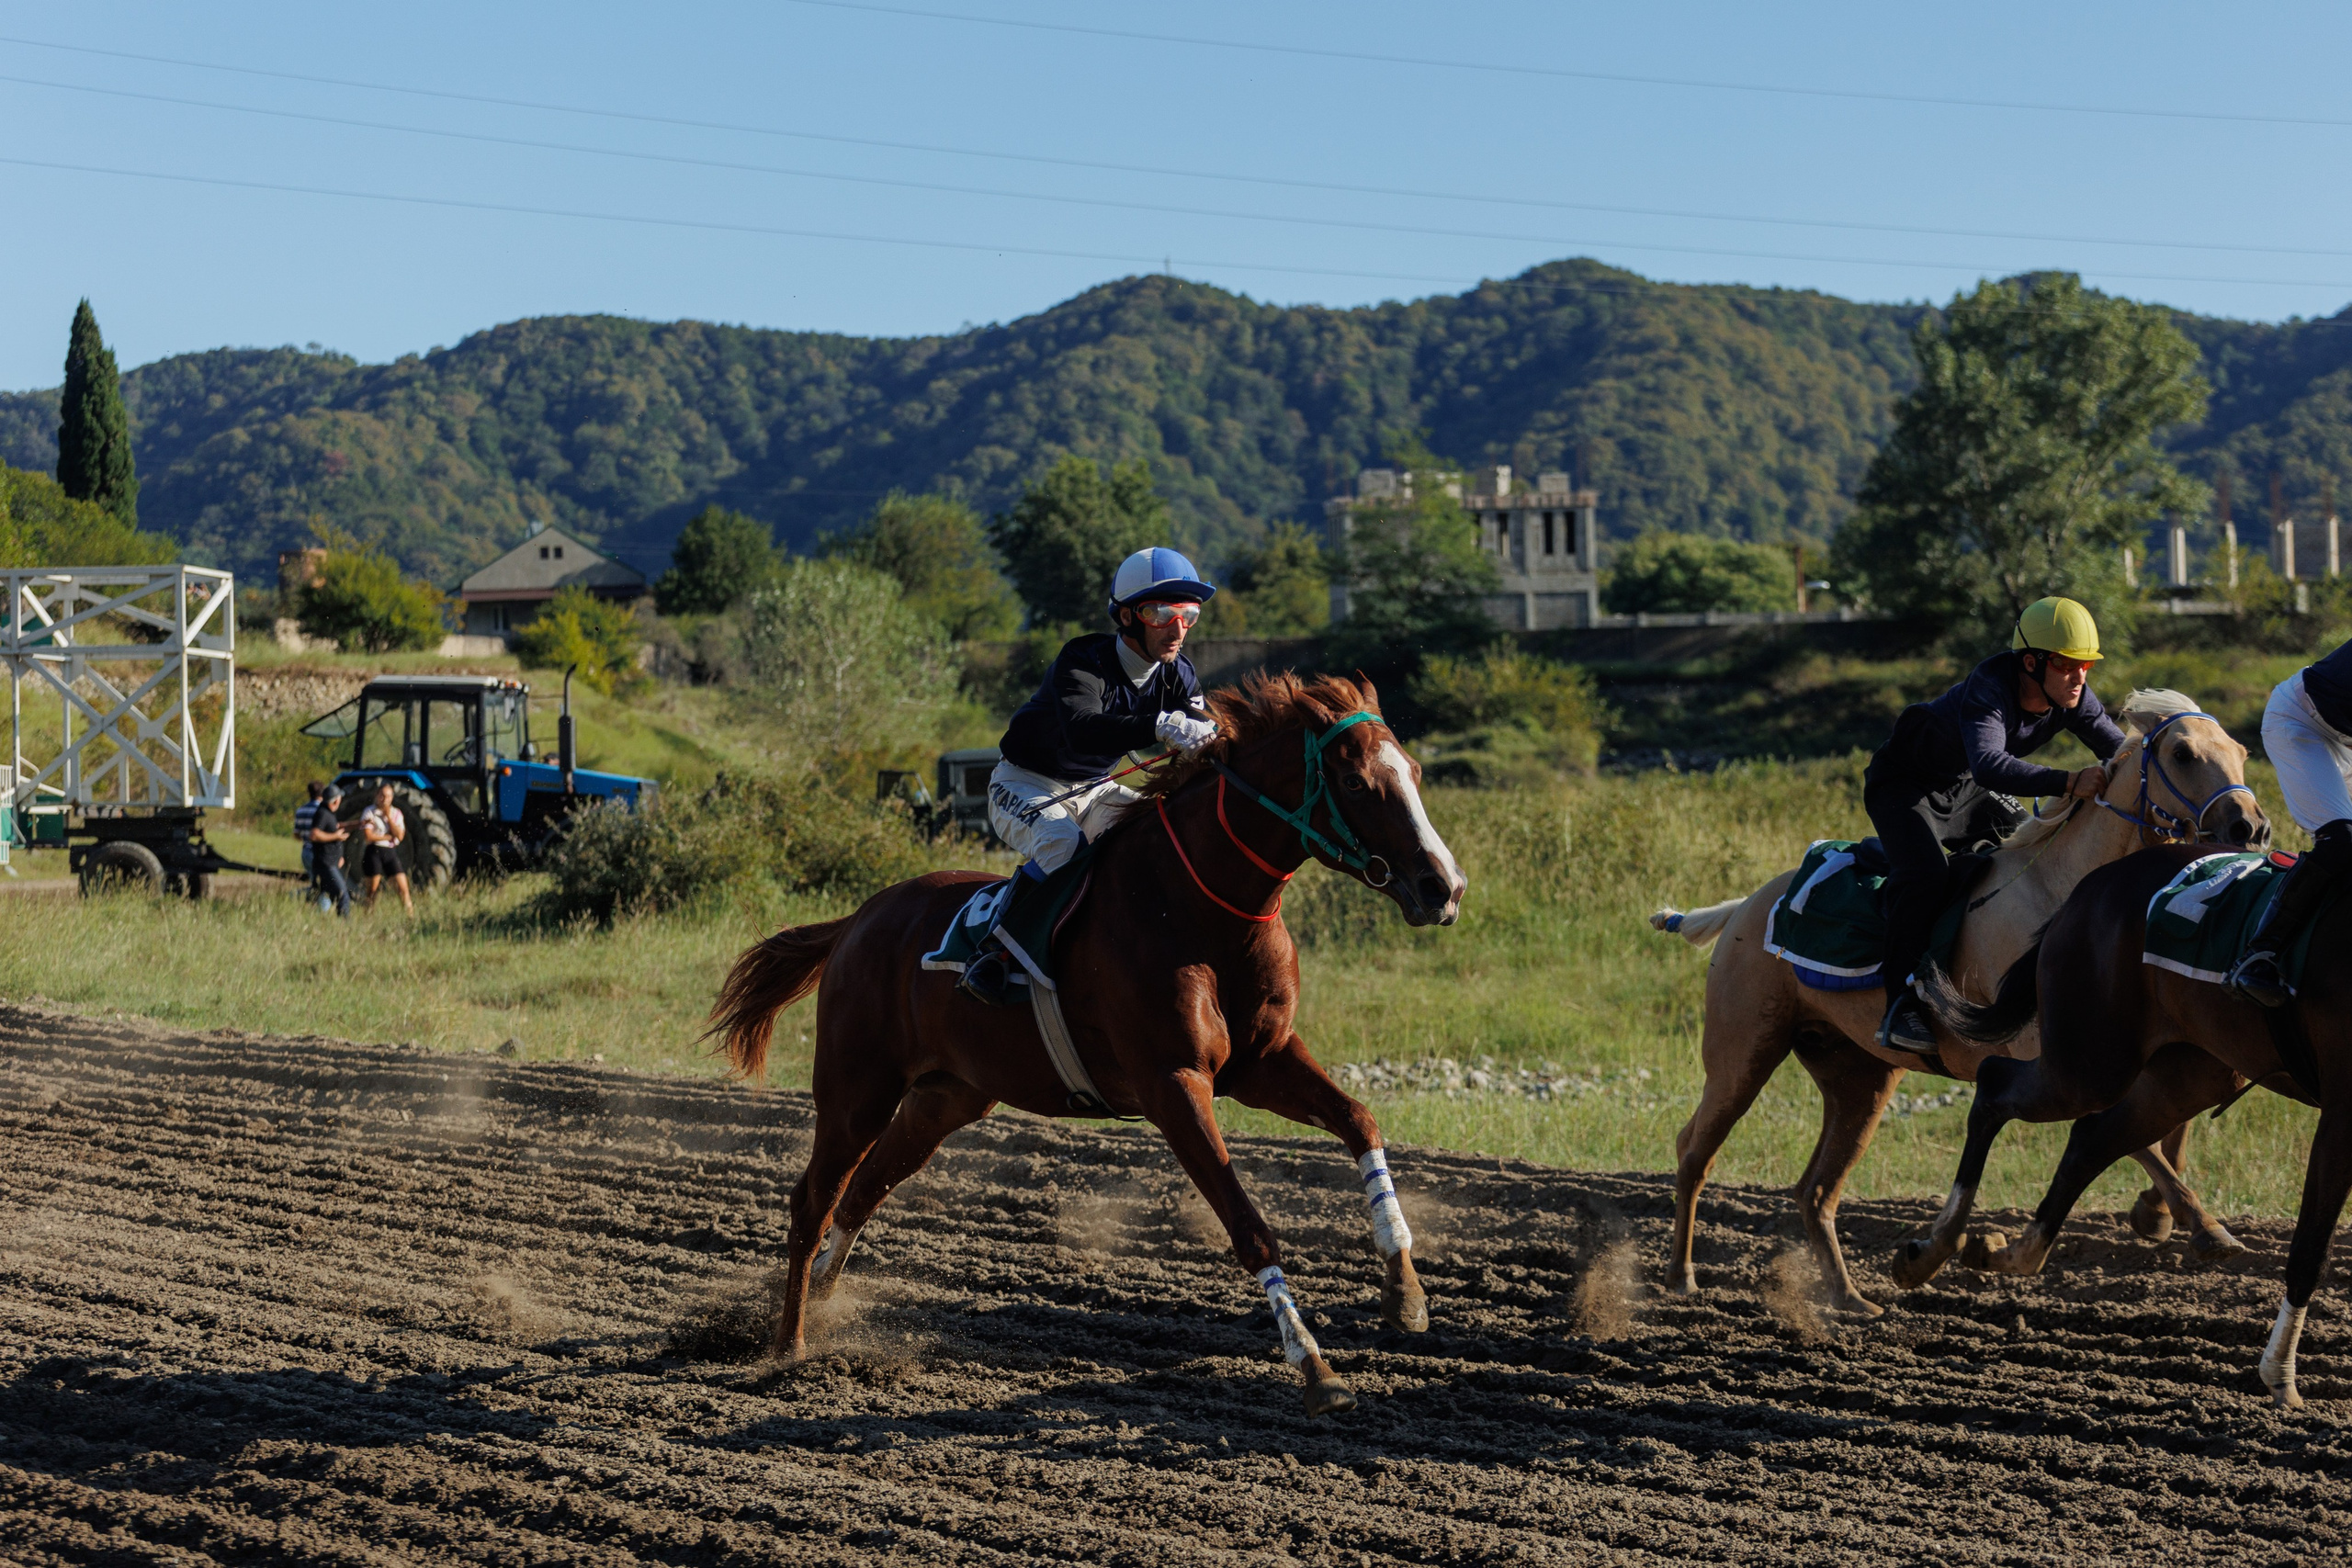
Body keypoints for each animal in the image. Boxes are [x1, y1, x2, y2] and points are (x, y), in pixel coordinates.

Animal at [706, 671, 1467, 1416]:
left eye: (1414, 772)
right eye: (1357, 783)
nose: (1445, 886)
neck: (1194, 908)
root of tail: (857, 920)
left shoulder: (1262, 1060)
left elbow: (1359, 1120)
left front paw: (1405, 1293)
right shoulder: (1173, 1083)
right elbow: (1249, 1224)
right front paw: (1314, 1365)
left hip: (945, 1098)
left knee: (864, 1190)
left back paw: (824, 1311)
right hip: (855, 1088)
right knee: (813, 1199)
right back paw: (789, 1346)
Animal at [1648, 691, 2266, 1315]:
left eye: (2241, 751)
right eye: (2183, 753)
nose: (2251, 825)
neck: (2060, 897)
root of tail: (1746, 906)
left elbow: (2163, 1128)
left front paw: (2168, 1217)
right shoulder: (2056, 1060)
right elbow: (2127, 1136)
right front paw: (2200, 1226)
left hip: (1860, 1082)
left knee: (1815, 1190)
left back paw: (1850, 1298)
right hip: (1742, 1054)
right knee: (1694, 1152)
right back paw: (1681, 1276)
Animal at [1899, 842, 2348, 1406]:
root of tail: (2087, 890)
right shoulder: (2341, 1110)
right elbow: (2311, 1248)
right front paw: (2281, 1379)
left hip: (2189, 1072)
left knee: (2090, 1140)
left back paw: (2011, 1252)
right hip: (2091, 1062)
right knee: (1994, 1086)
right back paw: (1936, 1248)